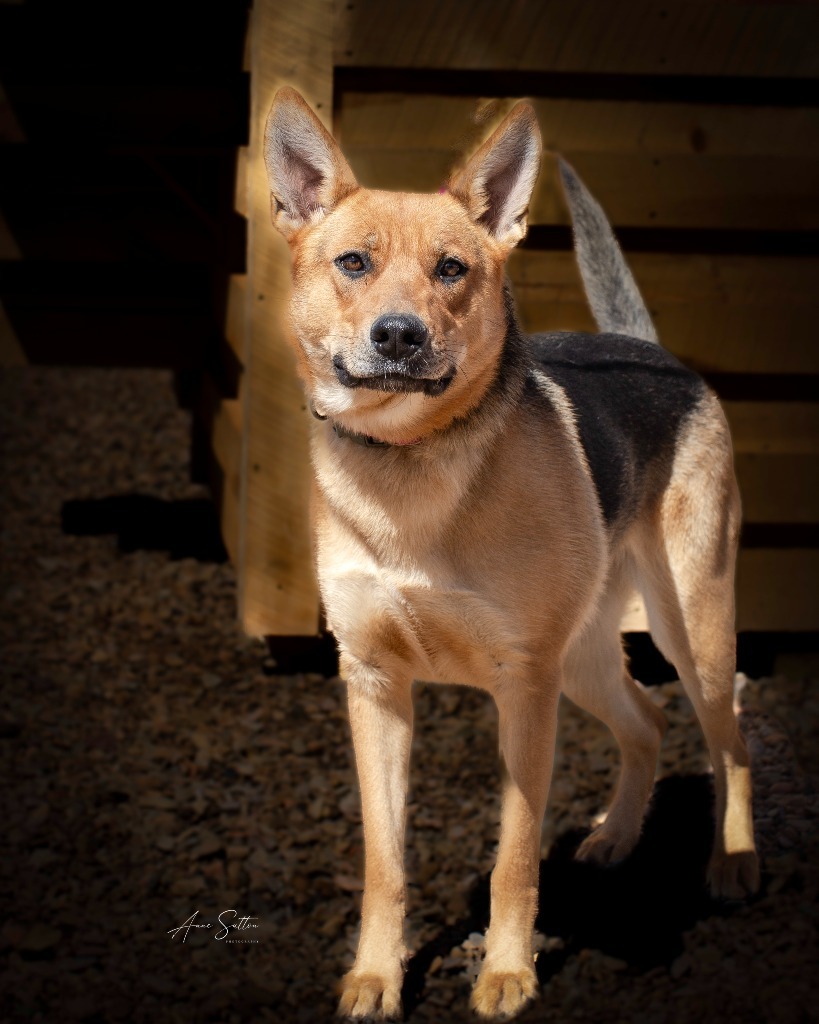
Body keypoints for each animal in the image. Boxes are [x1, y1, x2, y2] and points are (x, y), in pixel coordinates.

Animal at [264, 92, 761, 1019]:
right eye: (353, 262)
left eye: (451, 269)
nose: (398, 336)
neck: (409, 463)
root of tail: (649, 348)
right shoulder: (374, 686)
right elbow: (384, 864)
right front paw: (376, 976)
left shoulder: (522, 687)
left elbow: (514, 859)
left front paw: (505, 973)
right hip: (585, 656)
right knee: (647, 722)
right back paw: (615, 837)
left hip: (691, 631)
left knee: (729, 737)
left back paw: (733, 861)